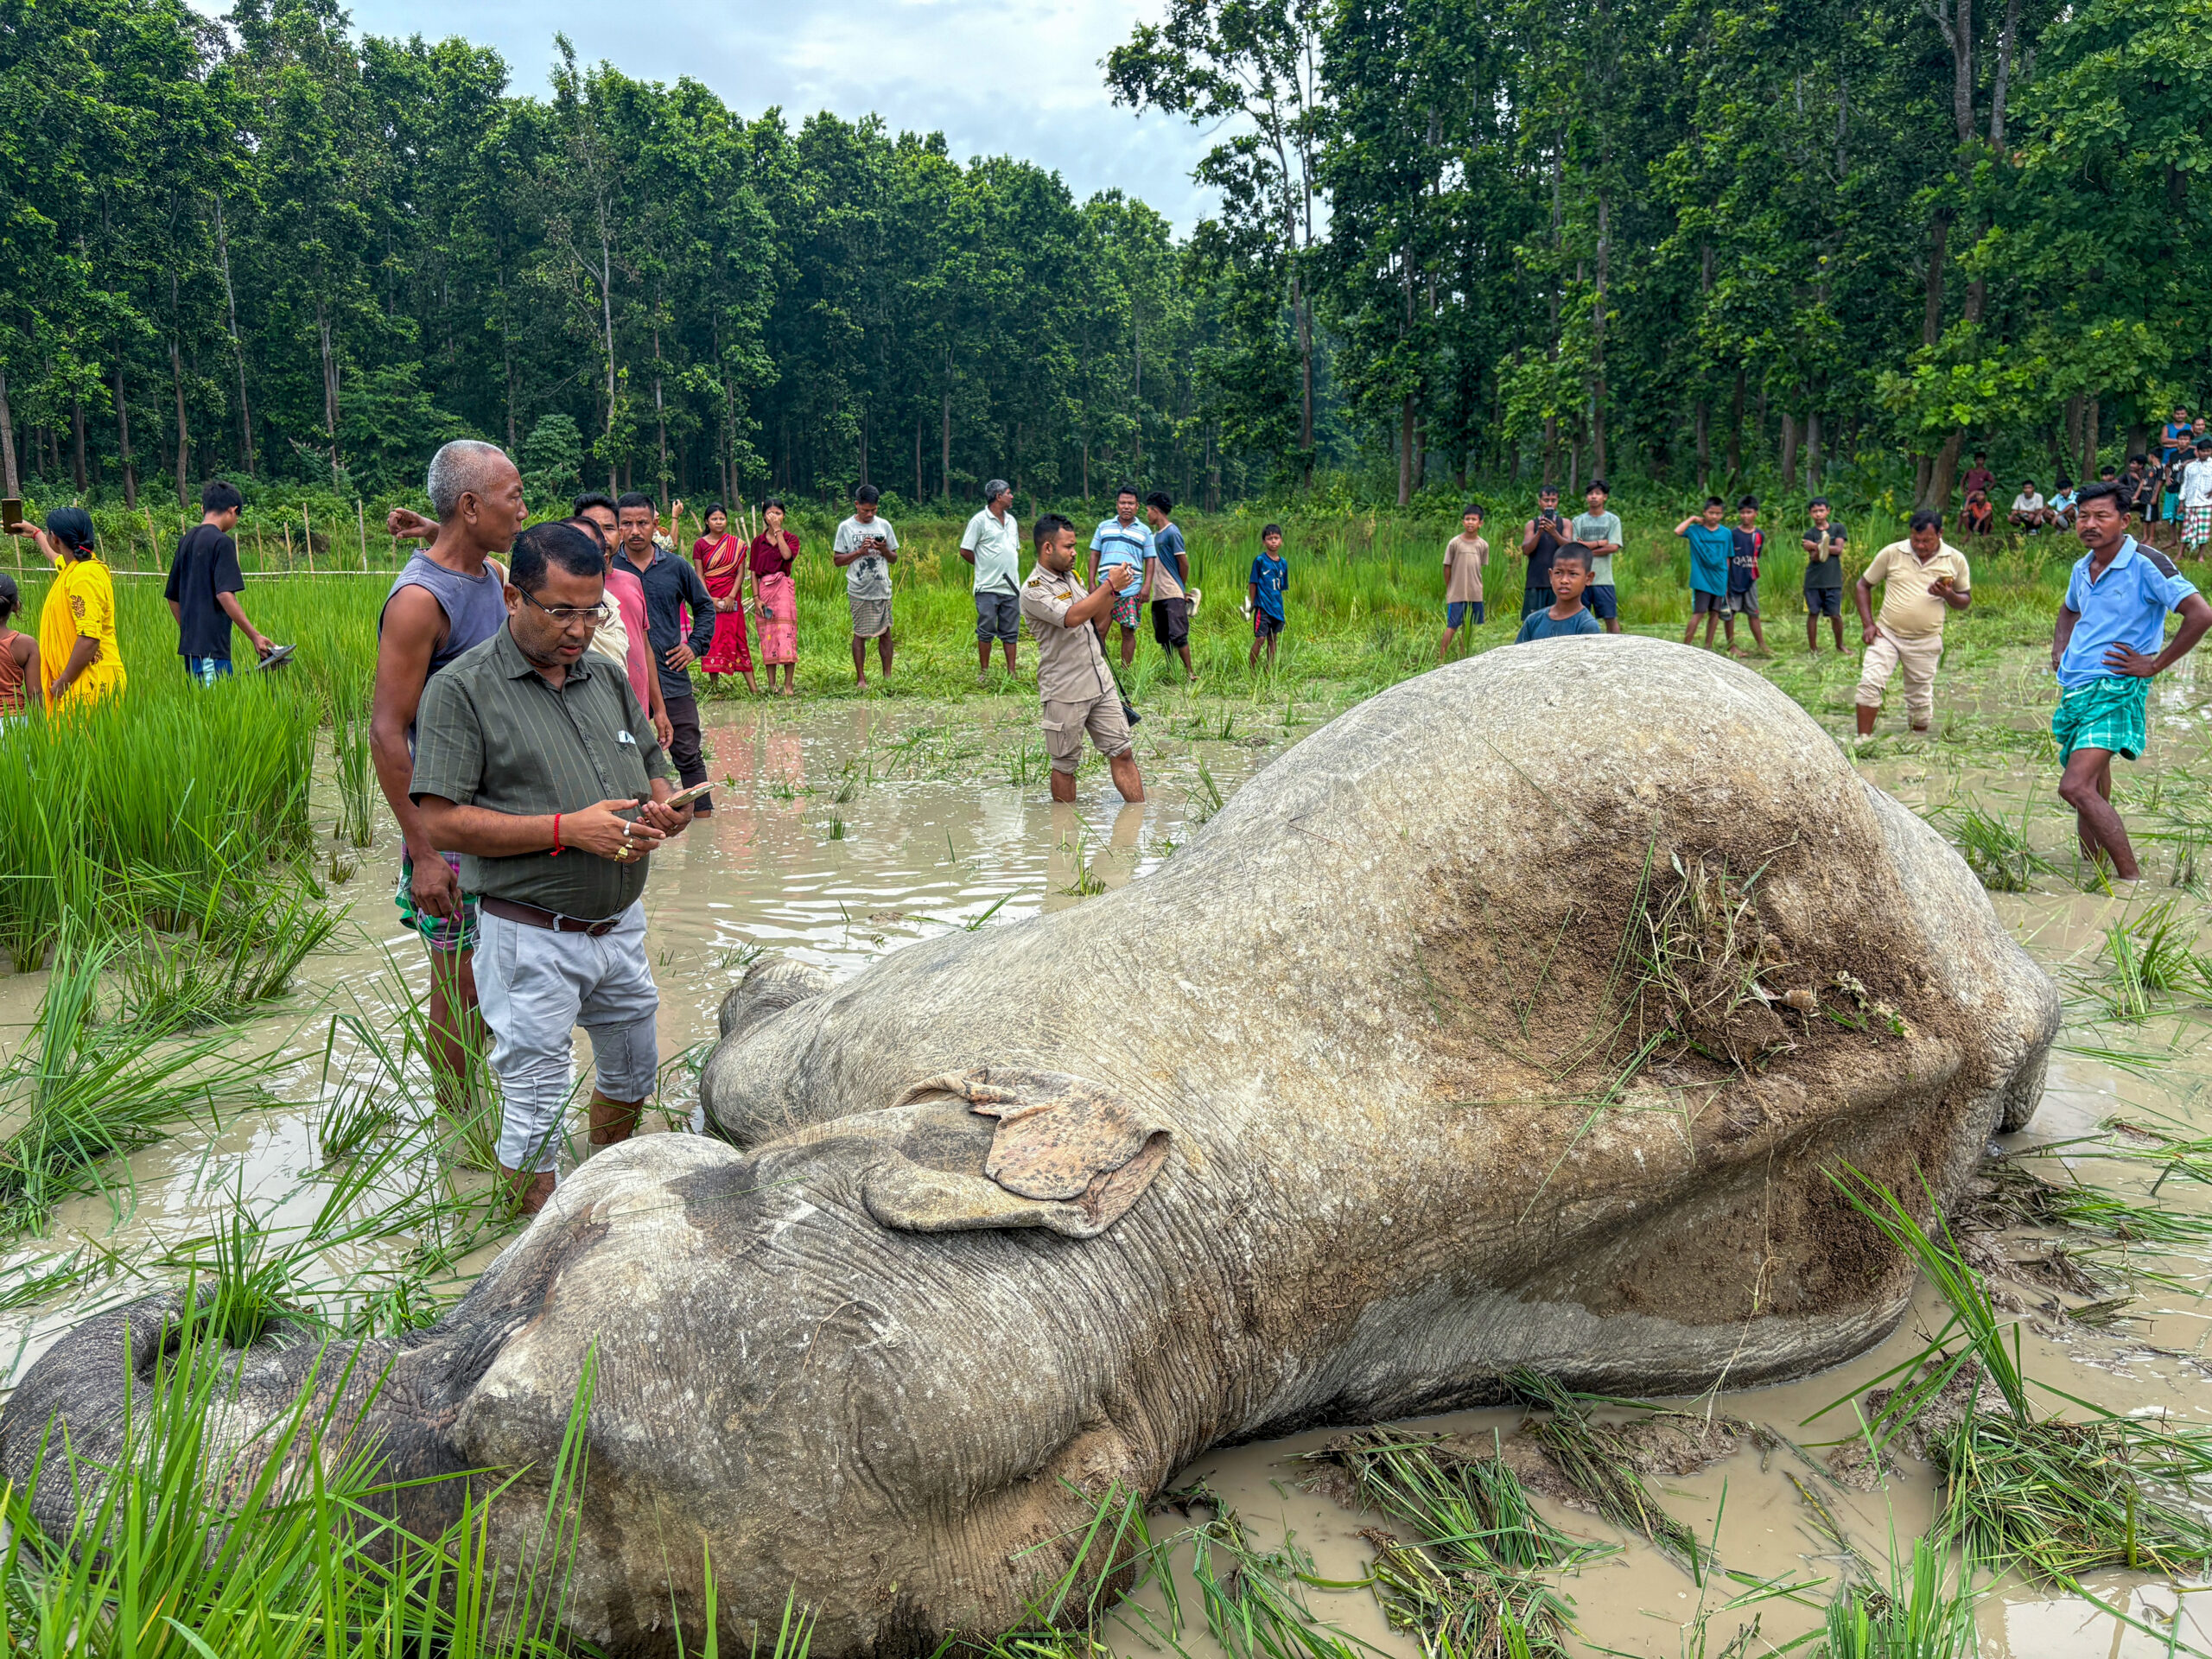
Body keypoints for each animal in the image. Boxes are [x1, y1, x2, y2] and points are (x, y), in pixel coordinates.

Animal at [1, 637, 2060, 1657]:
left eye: (507, 1429)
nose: (198, 1317)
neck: (1185, 1284)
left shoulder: (973, 1015)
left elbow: (779, 1053)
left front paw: (744, 1005)